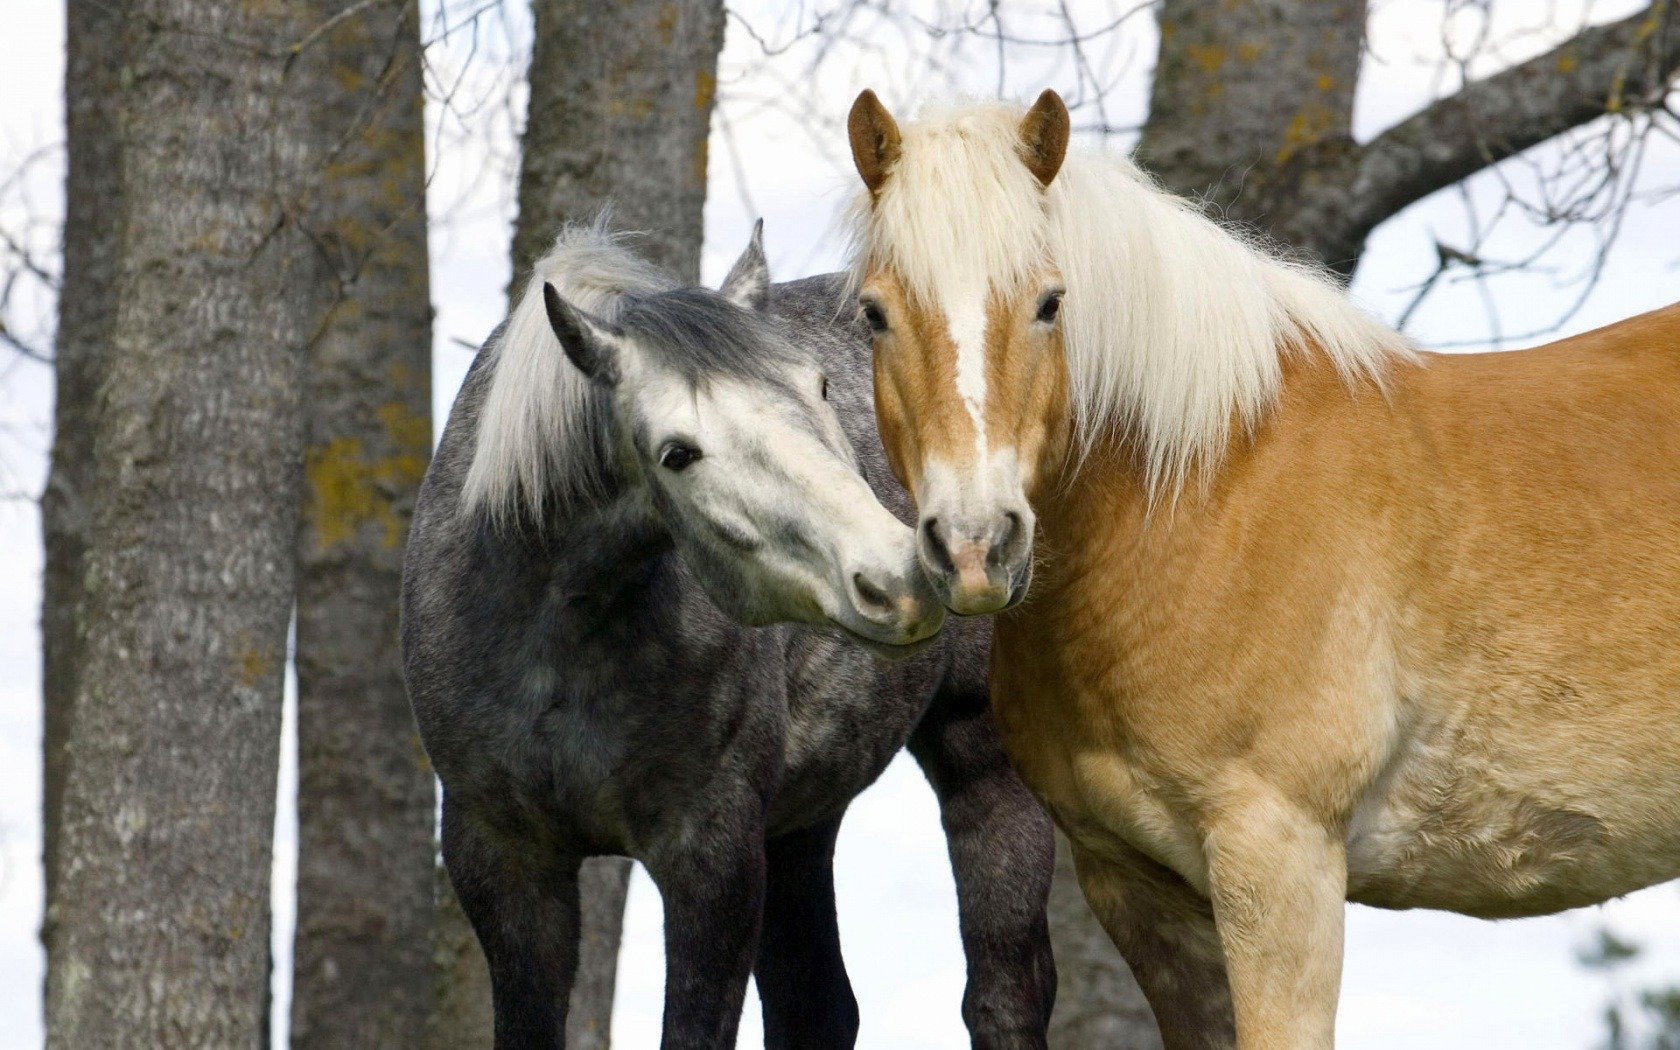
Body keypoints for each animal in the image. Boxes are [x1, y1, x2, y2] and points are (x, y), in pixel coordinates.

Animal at [400, 221, 1057, 1049]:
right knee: (817, 1004)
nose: (900, 578)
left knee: (1003, 996)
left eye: (820, 389)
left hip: (984, 766)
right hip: (802, 818)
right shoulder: (503, 862)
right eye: (677, 453)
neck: (557, 636)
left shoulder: (711, 856)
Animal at [841, 88, 1680, 1049]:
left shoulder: (1278, 860)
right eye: (874, 314)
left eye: (1051, 303)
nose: (977, 544)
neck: (1207, 493)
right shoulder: (1138, 889)